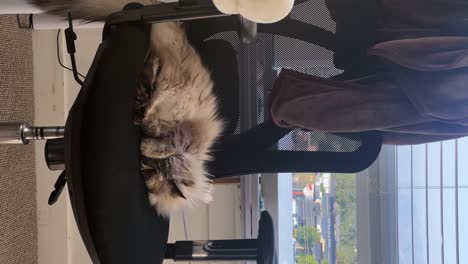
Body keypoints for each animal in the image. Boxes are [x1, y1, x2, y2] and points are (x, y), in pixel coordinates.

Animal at [32, 0, 224, 217]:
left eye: (149, 172)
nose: (142, 162)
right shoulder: (183, 132)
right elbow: (162, 139)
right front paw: (145, 133)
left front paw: (144, 137)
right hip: (167, 78)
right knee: (151, 77)